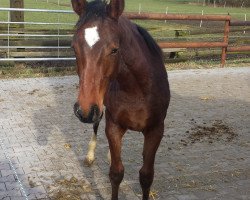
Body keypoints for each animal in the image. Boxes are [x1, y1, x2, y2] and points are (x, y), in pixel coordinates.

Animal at [71, 0, 171, 199]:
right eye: (73, 47)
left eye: (114, 49)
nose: (84, 111)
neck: (136, 91)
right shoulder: (113, 125)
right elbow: (116, 173)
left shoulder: (156, 130)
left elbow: (146, 175)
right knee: (96, 126)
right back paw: (90, 155)